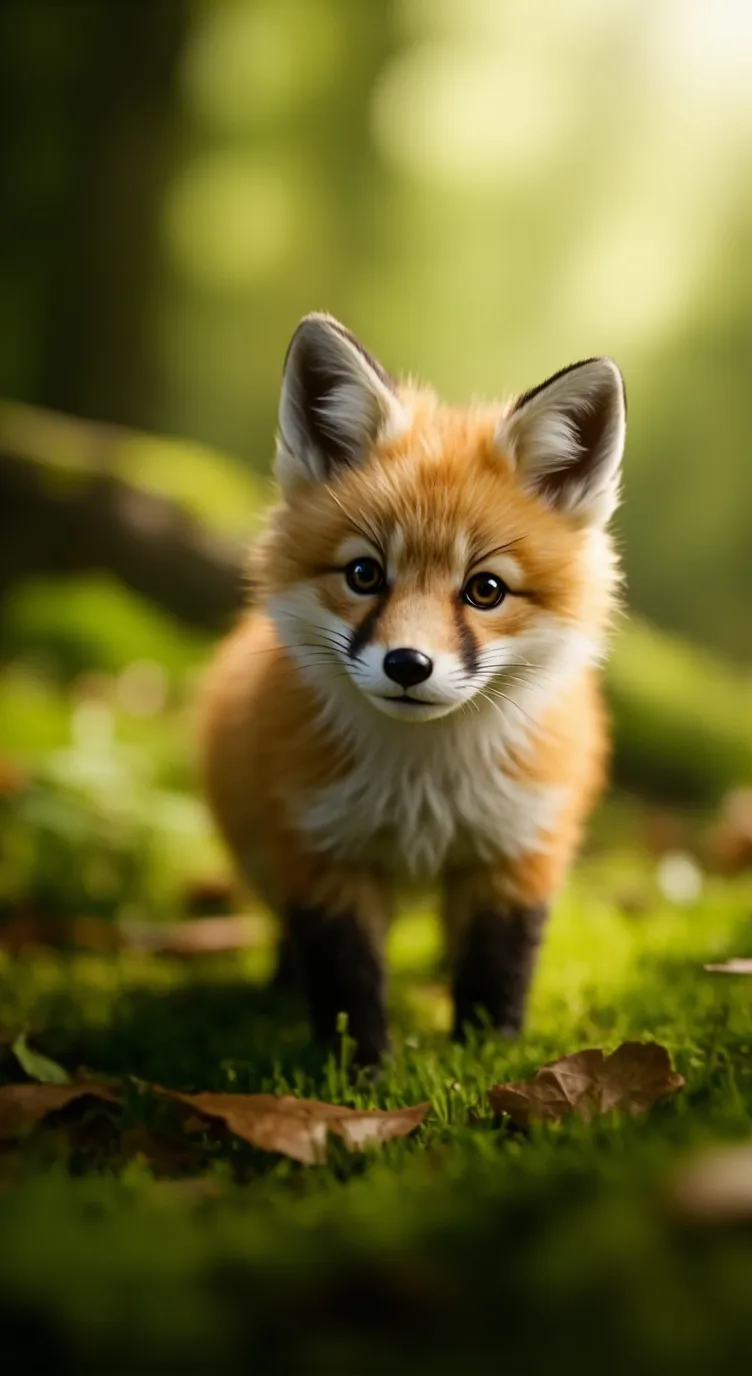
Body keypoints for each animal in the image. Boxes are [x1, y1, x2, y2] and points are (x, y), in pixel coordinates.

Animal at [199, 312, 626, 1064]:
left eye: (486, 589)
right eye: (364, 574)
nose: (407, 665)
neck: (425, 789)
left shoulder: (516, 851)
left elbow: (495, 972)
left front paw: (489, 1061)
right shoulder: (322, 849)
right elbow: (346, 983)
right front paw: (359, 1073)